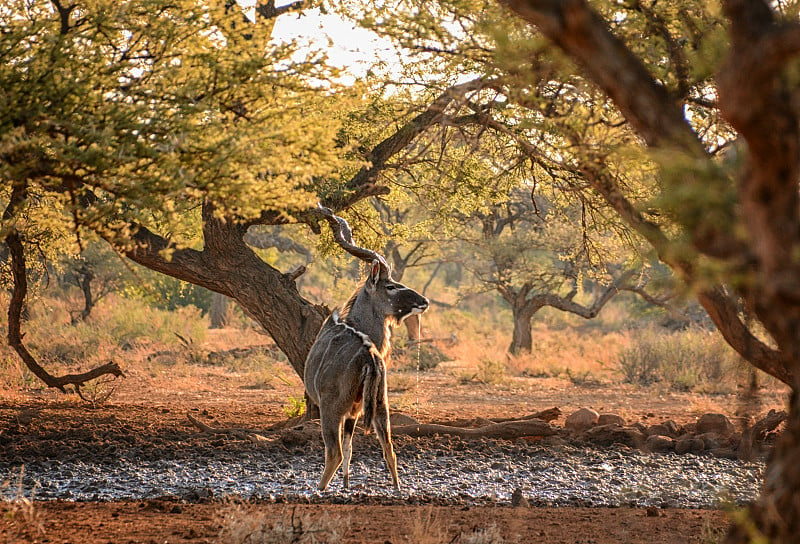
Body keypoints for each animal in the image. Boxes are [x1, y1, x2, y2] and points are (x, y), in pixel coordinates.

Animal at [306, 205, 432, 492]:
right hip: (381, 405)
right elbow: (353, 448)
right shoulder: (357, 410)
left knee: (334, 453)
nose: (424, 301)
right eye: (391, 285)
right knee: (389, 448)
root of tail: (370, 356)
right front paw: (346, 484)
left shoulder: (341, 410)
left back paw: (318, 490)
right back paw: (397, 488)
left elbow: (344, 450)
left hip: (331, 409)